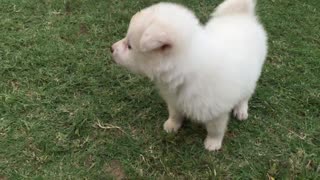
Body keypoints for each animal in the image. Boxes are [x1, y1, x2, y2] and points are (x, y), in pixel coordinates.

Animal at [112, 0, 268, 151]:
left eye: (130, 46)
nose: (111, 48)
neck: (186, 70)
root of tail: (241, 15)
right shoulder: (174, 100)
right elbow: (175, 114)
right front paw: (171, 125)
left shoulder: (216, 111)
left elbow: (215, 129)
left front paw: (213, 143)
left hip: (251, 77)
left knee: (245, 96)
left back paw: (241, 110)